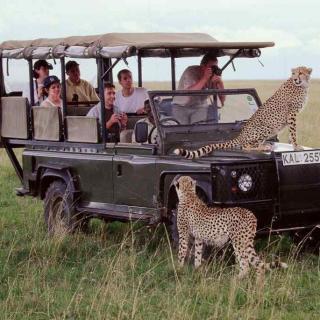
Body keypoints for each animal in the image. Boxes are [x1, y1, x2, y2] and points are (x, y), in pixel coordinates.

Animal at [175, 66, 312, 159]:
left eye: (300, 73)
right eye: (293, 73)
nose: (296, 78)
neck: (302, 85)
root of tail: (240, 135)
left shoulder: (291, 115)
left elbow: (291, 132)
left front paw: (292, 145)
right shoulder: (292, 113)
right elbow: (293, 131)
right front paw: (296, 146)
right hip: (265, 127)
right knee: (246, 146)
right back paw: (264, 147)